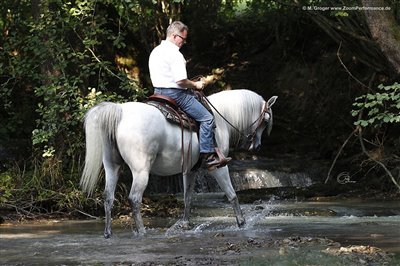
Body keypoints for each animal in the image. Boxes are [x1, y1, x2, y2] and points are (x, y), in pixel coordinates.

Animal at [79, 89, 276, 237]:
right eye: (265, 121)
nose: (257, 145)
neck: (219, 119)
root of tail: (120, 112)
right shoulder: (218, 166)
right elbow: (232, 194)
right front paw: (242, 222)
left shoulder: (190, 170)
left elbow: (187, 197)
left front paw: (185, 225)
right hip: (141, 170)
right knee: (134, 198)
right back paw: (142, 231)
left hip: (112, 167)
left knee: (108, 197)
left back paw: (107, 232)